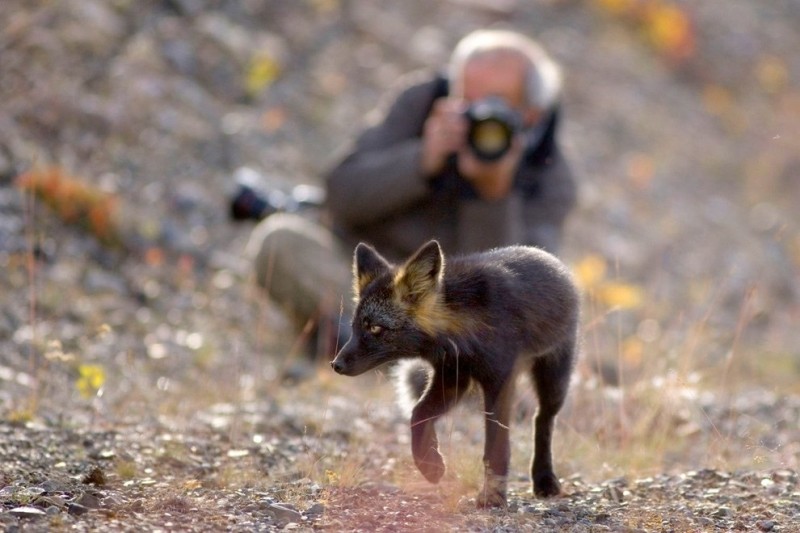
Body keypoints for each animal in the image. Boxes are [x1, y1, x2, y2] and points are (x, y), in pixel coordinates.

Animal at [328, 239, 580, 504]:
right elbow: (418, 415)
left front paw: (492, 496)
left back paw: (544, 478)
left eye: (375, 328)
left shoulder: (500, 379)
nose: (336, 364)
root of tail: (548, 258)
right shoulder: (452, 376)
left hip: (554, 381)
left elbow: (496, 447)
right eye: (355, 328)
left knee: (542, 420)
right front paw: (430, 464)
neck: (462, 329)